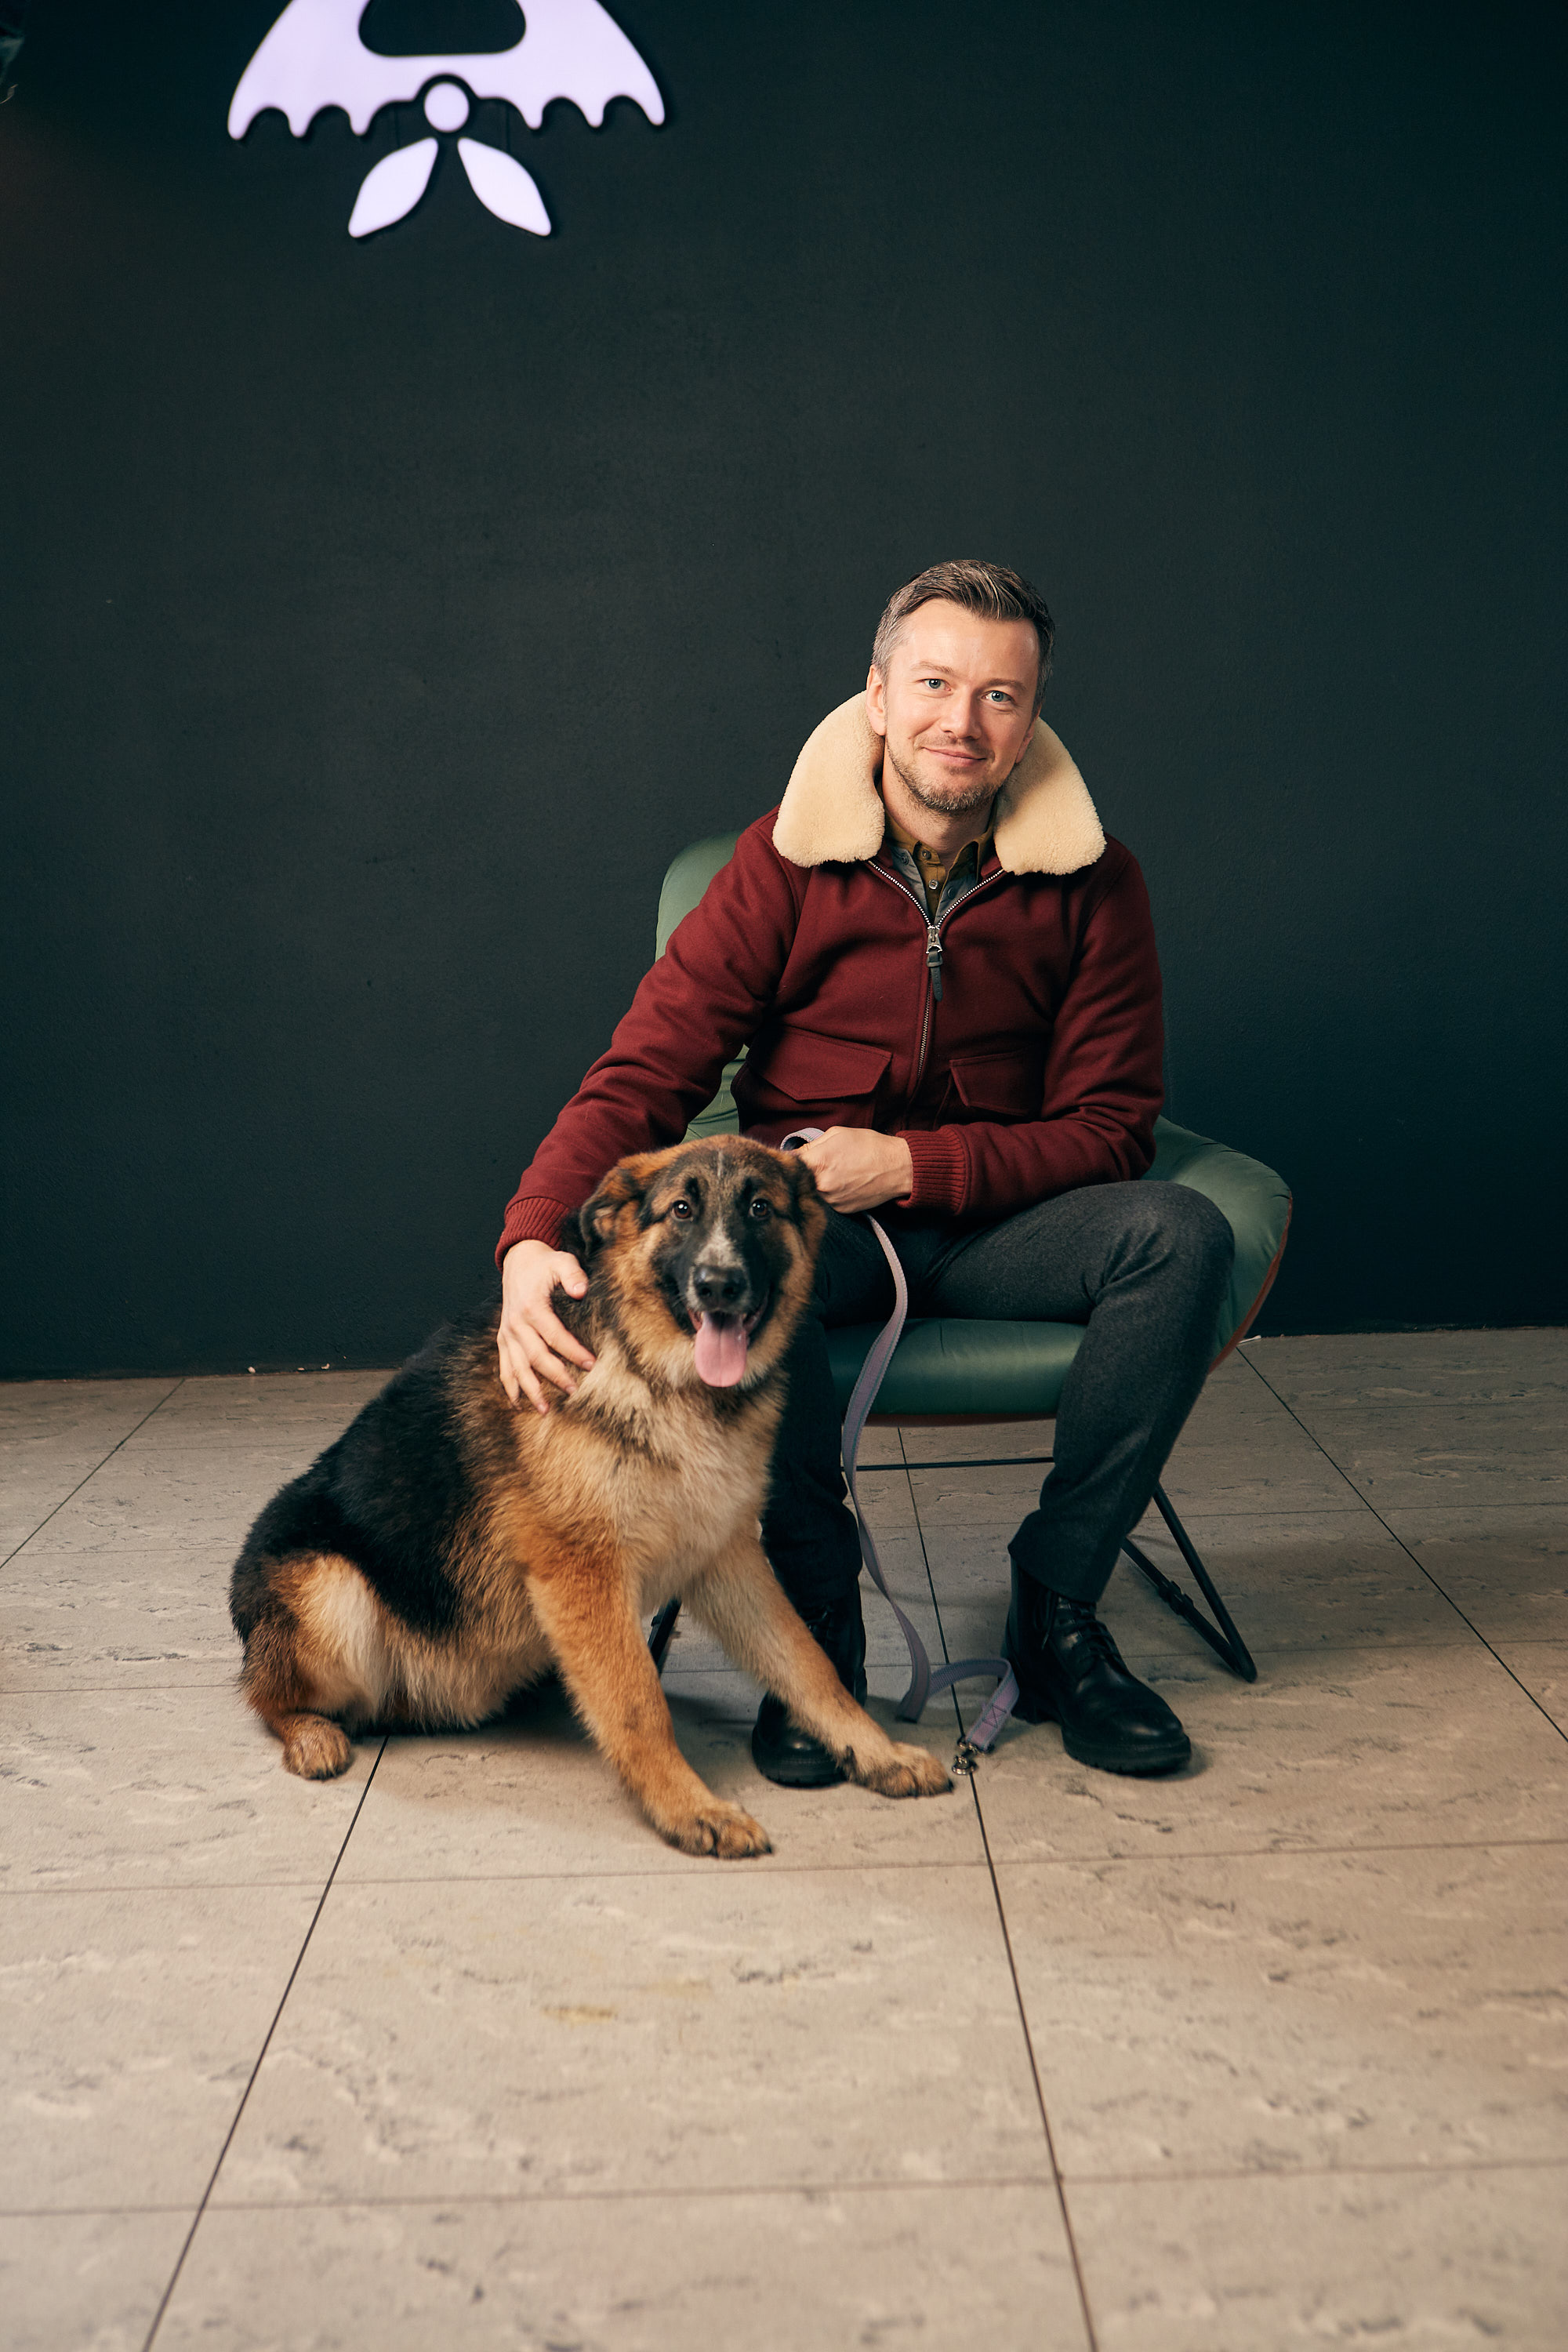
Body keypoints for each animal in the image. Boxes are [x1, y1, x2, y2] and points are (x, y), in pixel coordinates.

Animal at [230, 1136, 951, 1855]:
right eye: (682, 1210)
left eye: (760, 1208)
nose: (718, 1284)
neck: (656, 1374)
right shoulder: (584, 1571)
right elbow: (637, 1703)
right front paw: (687, 1806)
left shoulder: (726, 1557)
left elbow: (808, 1666)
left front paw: (877, 1751)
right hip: (330, 1589)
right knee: (266, 1700)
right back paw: (313, 1733)